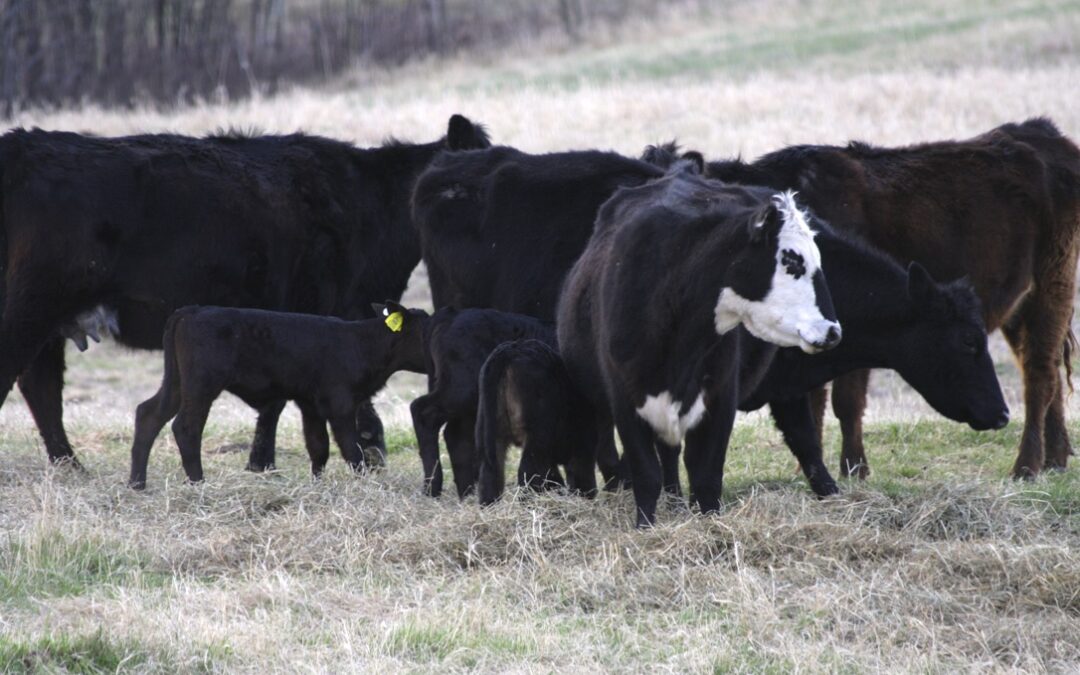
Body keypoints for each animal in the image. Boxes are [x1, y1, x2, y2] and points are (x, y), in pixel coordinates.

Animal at [0, 113, 490, 468]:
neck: (369, 204)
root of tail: (21, 147)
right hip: (31, 307)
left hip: (48, 321)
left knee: (42, 388)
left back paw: (70, 466)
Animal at [406, 308, 552, 496]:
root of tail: (451, 314)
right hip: (462, 389)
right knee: (424, 412)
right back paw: (432, 487)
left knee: (456, 434)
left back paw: (467, 491)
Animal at [479, 339, 604, 503]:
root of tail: (510, 350)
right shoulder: (583, 444)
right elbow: (580, 473)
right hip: (537, 435)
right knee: (528, 472)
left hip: (490, 432)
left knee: (491, 473)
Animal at [557, 164, 842, 527]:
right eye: (792, 260)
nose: (832, 331)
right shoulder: (625, 398)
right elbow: (646, 474)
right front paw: (645, 526)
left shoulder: (719, 397)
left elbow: (706, 474)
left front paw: (709, 522)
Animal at [708, 119, 1080, 479]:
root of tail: (1041, 133)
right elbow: (814, 398)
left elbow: (845, 399)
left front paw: (854, 467)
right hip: (1019, 308)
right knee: (1044, 369)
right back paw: (1055, 458)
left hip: (1053, 284)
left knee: (1039, 374)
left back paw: (1026, 466)